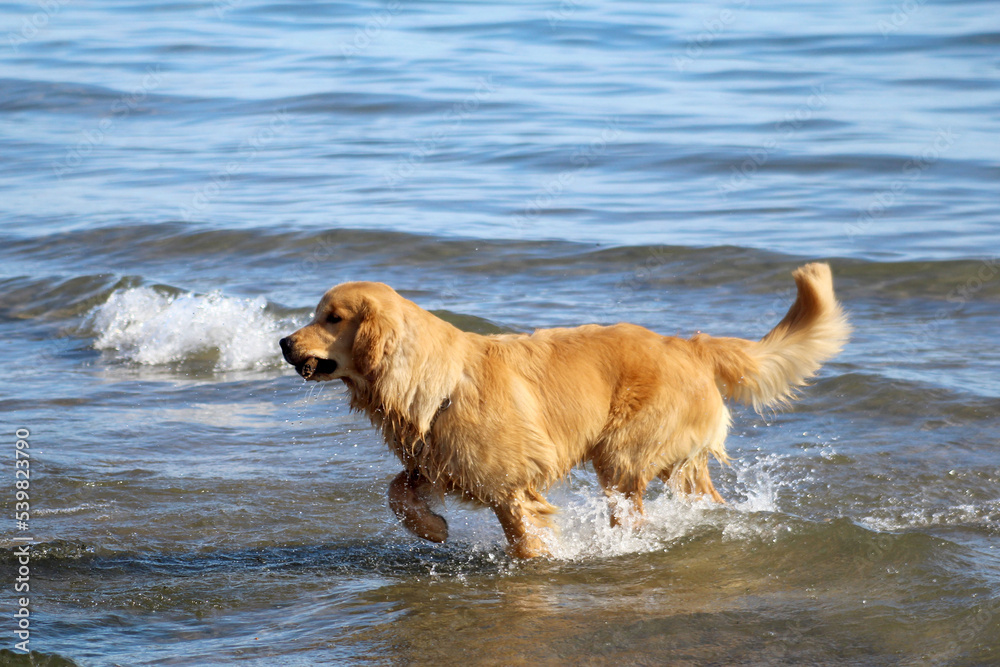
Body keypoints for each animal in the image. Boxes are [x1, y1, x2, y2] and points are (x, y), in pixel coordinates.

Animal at [278, 264, 848, 556]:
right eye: (317, 314)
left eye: (332, 318)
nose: (283, 342)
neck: (432, 380)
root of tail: (687, 344)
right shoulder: (436, 464)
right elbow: (396, 490)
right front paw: (432, 528)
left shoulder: (510, 486)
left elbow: (525, 540)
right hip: (673, 463)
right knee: (705, 500)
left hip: (621, 454)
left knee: (631, 509)